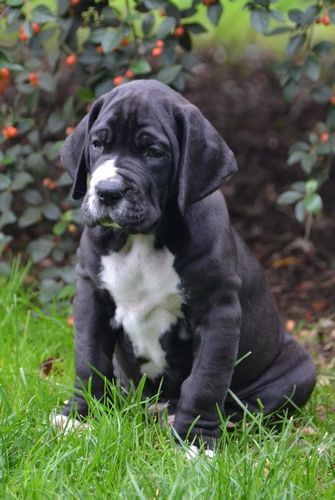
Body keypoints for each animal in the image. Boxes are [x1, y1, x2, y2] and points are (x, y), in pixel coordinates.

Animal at [54, 81, 316, 450]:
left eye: (154, 152)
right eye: (97, 144)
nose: (107, 190)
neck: (143, 239)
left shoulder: (218, 313)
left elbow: (205, 381)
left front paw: (196, 442)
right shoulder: (92, 296)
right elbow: (89, 360)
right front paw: (79, 417)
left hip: (300, 370)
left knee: (250, 406)